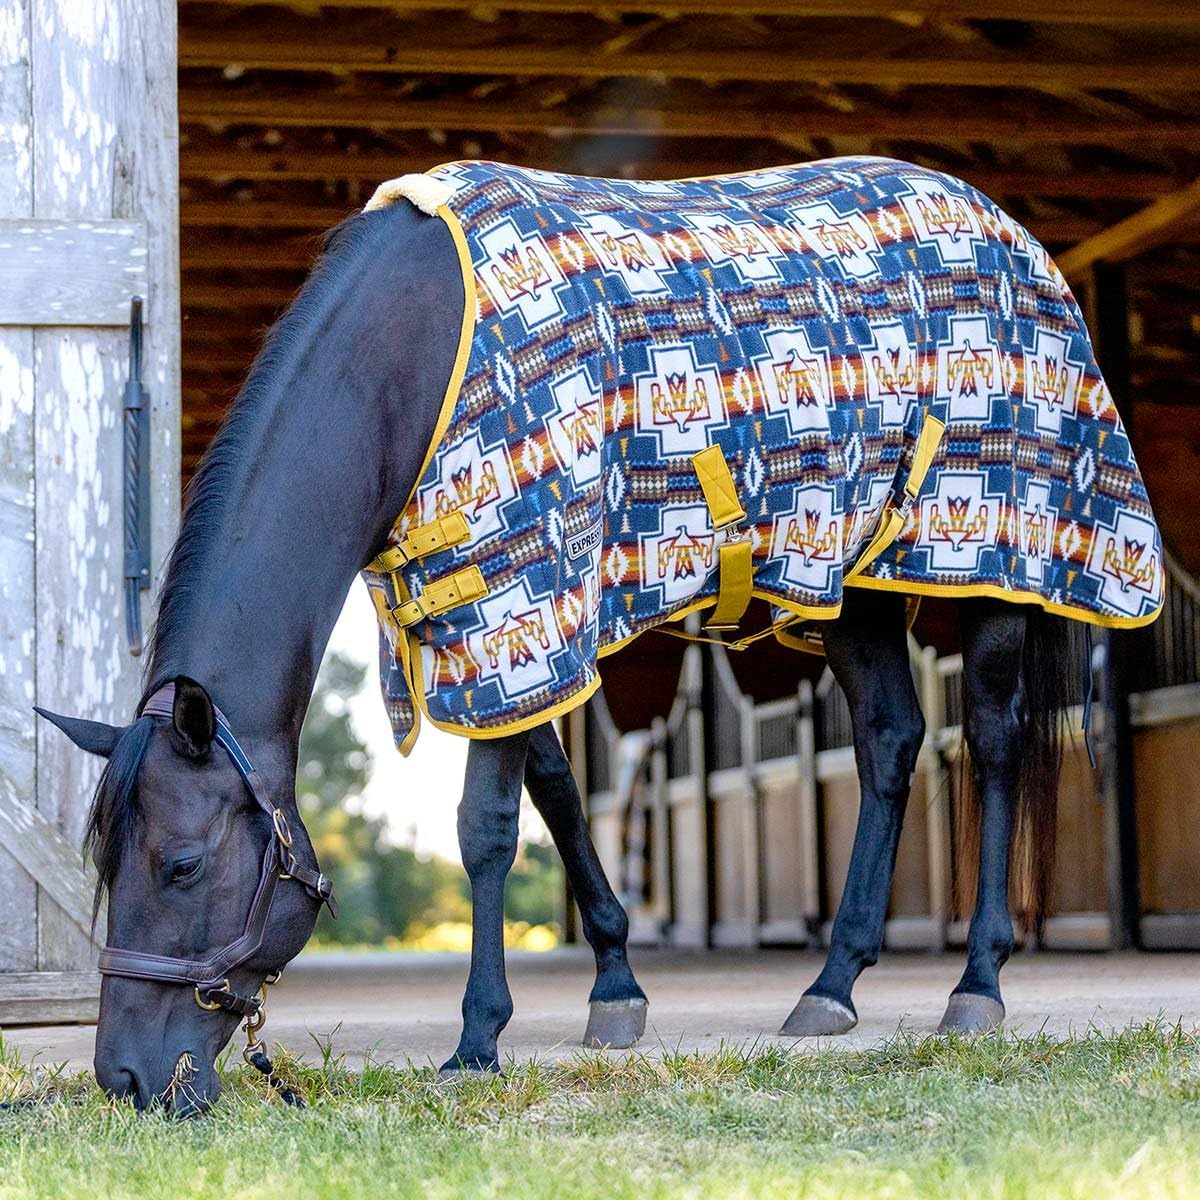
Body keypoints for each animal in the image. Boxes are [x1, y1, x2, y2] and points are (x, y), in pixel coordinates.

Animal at [39, 155, 1161, 1113]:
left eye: (182, 867)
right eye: (105, 867)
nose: (126, 1080)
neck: (412, 358)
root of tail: (1010, 229)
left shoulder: (519, 593)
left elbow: (487, 831)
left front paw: (478, 1039)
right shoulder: (502, 629)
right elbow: (557, 792)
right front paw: (615, 988)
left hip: (999, 559)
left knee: (996, 737)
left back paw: (977, 984)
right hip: (854, 582)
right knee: (890, 739)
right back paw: (833, 984)